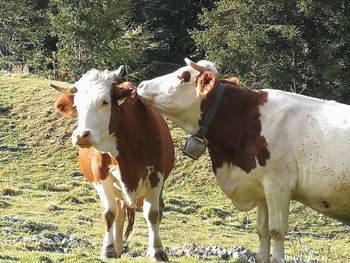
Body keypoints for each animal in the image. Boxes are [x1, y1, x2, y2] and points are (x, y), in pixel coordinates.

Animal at [51, 66, 174, 262]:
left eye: (105, 101)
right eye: (77, 105)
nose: (81, 135)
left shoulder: (156, 176)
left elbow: (153, 214)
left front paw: (157, 251)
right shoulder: (101, 176)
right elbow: (110, 213)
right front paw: (108, 249)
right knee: (120, 213)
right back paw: (117, 247)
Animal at [137, 59, 350, 263]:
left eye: (183, 75)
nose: (141, 85)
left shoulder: (278, 185)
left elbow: (277, 230)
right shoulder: (261, 188)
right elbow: (262, 231)